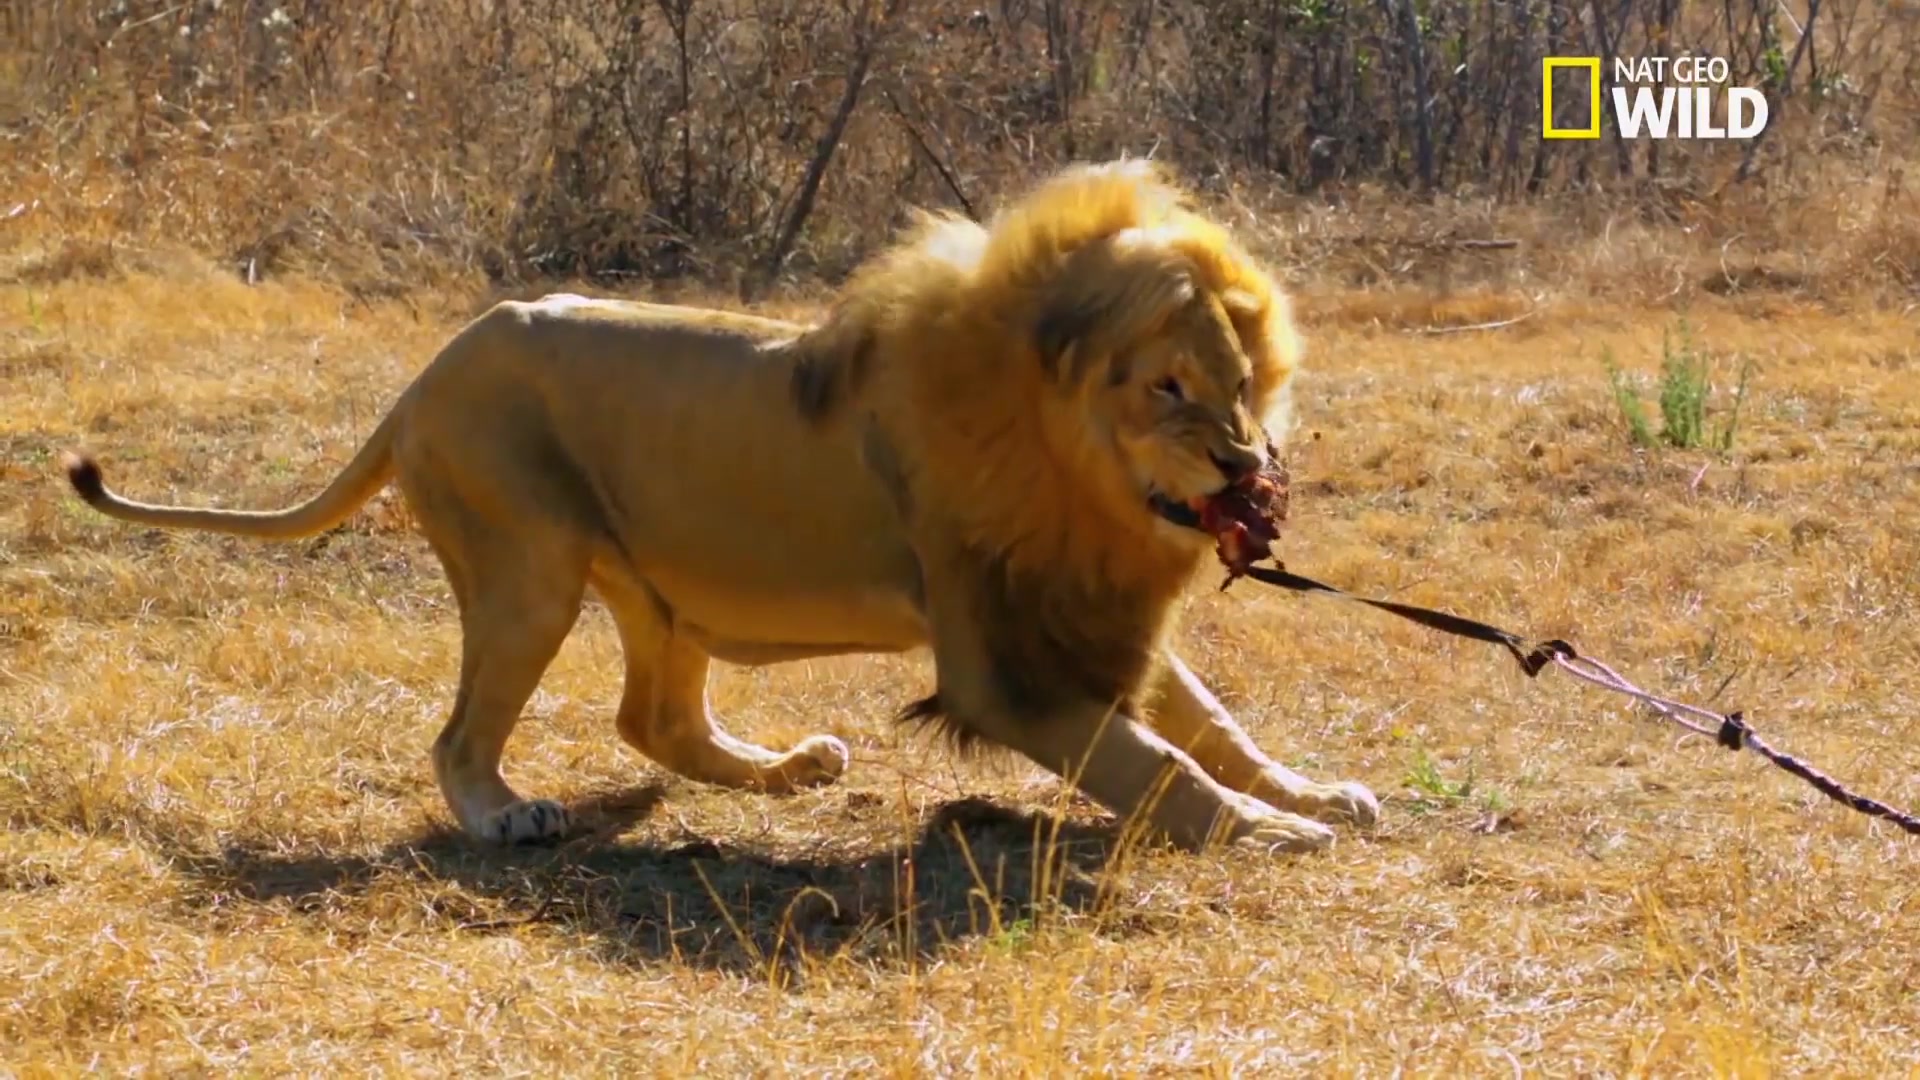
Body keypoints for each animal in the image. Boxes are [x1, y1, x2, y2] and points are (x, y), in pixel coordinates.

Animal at [56, 157, 1382, 849]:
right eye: (1167, 387)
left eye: (1246, 384)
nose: (1244, 472)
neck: (1080, 479)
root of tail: (423, 376)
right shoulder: (1001, 661)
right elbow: (1153, 763)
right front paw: (1276, 833)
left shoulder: (1081, 602)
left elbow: (1212, 724)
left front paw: (1313, 794)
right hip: (529, 568)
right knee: (462, 736)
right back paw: (504, 815)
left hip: (659, 589)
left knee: (657, 722)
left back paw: (787, 767)